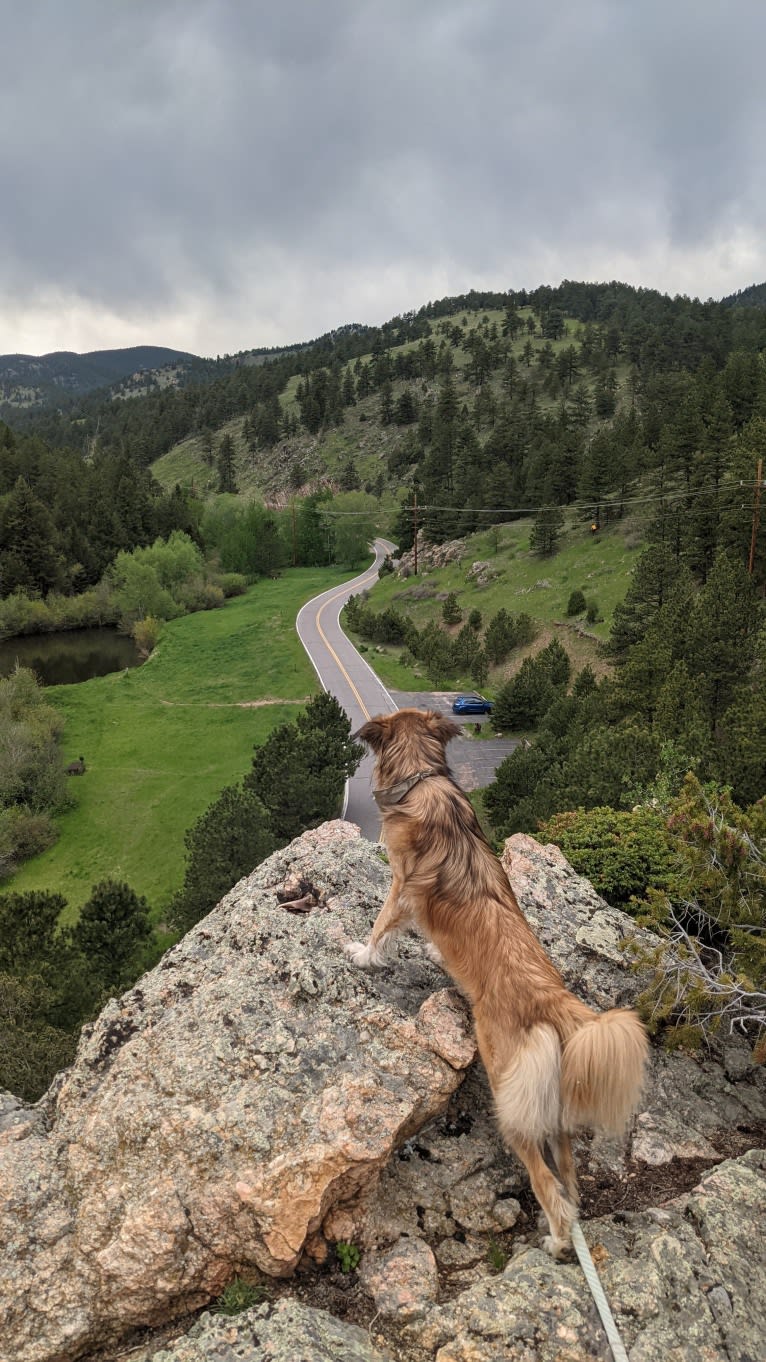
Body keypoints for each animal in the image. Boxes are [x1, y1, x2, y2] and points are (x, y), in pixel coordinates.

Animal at [343, 708, 646, 1258]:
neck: (424, 778)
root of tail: (553, 999)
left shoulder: (401, 885)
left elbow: (381, 927)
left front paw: (364, 956)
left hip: (510, 1096)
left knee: (546, 1183)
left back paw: (554, 1242)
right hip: (551, 1107)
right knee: (568, 1178)